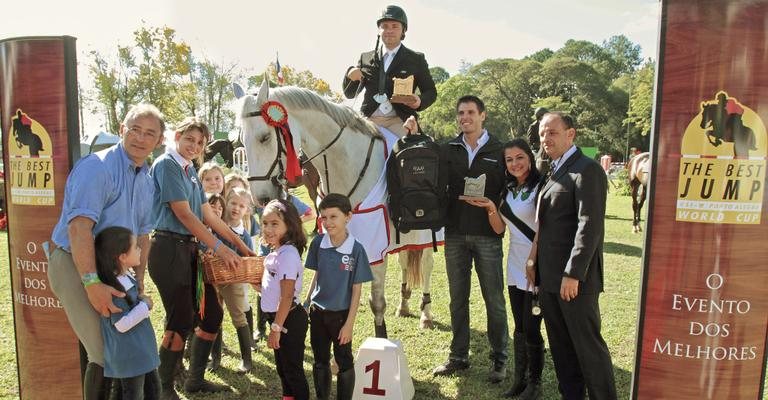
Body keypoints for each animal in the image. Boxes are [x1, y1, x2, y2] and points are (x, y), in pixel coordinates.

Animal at [234, 79, 436, 336]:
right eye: (241, 142)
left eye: (264, 137)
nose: (261, 198)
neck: (348, 165)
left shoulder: (376, 243)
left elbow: (376, 302)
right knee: (405, 261)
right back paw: (403, 304)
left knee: (427, 264)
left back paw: (426, 314)